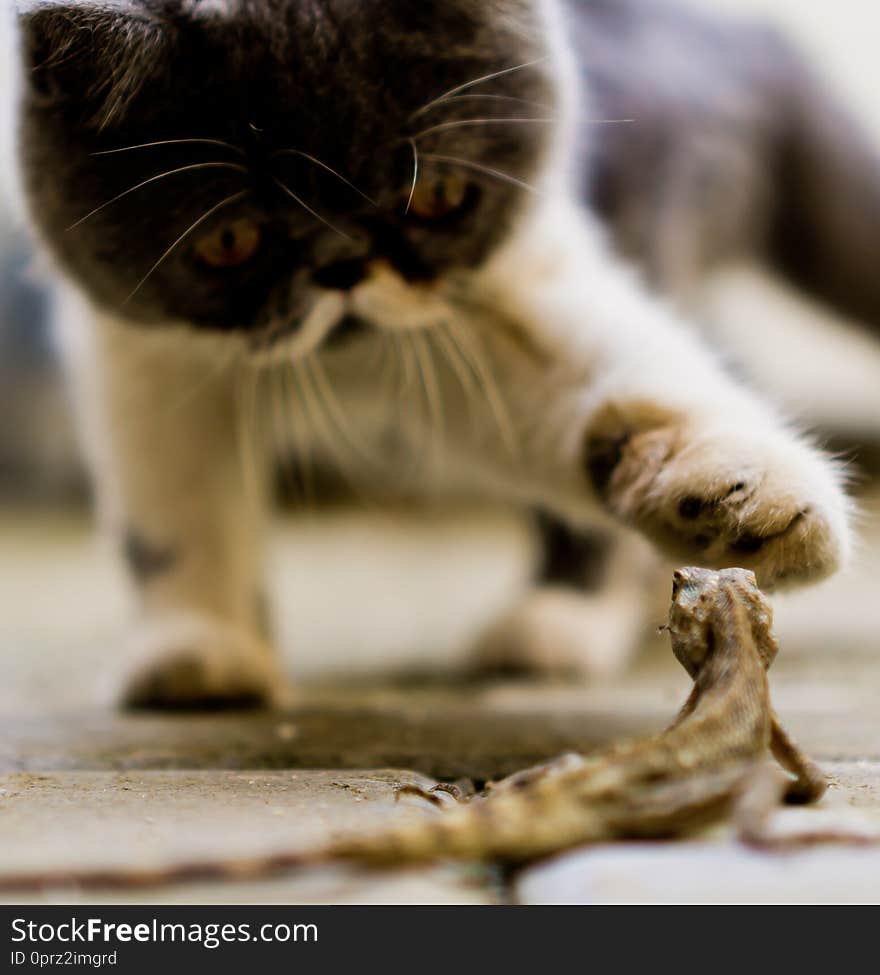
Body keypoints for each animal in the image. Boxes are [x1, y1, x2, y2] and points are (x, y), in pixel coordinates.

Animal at [12, 0, 872, 704]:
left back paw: (563, 618)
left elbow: (605, 378)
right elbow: (177, 488)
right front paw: (199, 645)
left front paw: (742, 495)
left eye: (436, 197)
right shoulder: (141, 342)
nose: (342, 263)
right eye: (229, 241)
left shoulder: (495, 294)